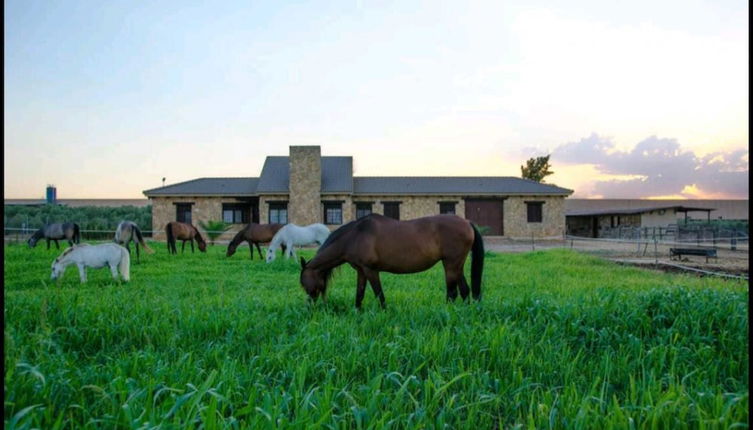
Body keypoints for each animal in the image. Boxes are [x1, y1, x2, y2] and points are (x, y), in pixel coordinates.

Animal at [296, 214, 484, 310]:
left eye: (304, 283)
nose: (309, 306)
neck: (355, 235)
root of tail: (467, 222)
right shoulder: (361, 271)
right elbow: (359, 293)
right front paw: (357, 311)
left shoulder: (371, 270)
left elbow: (379, 294)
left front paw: (384, 312)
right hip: (456, 265)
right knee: (465, 290)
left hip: (450, 264)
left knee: (452, 292)